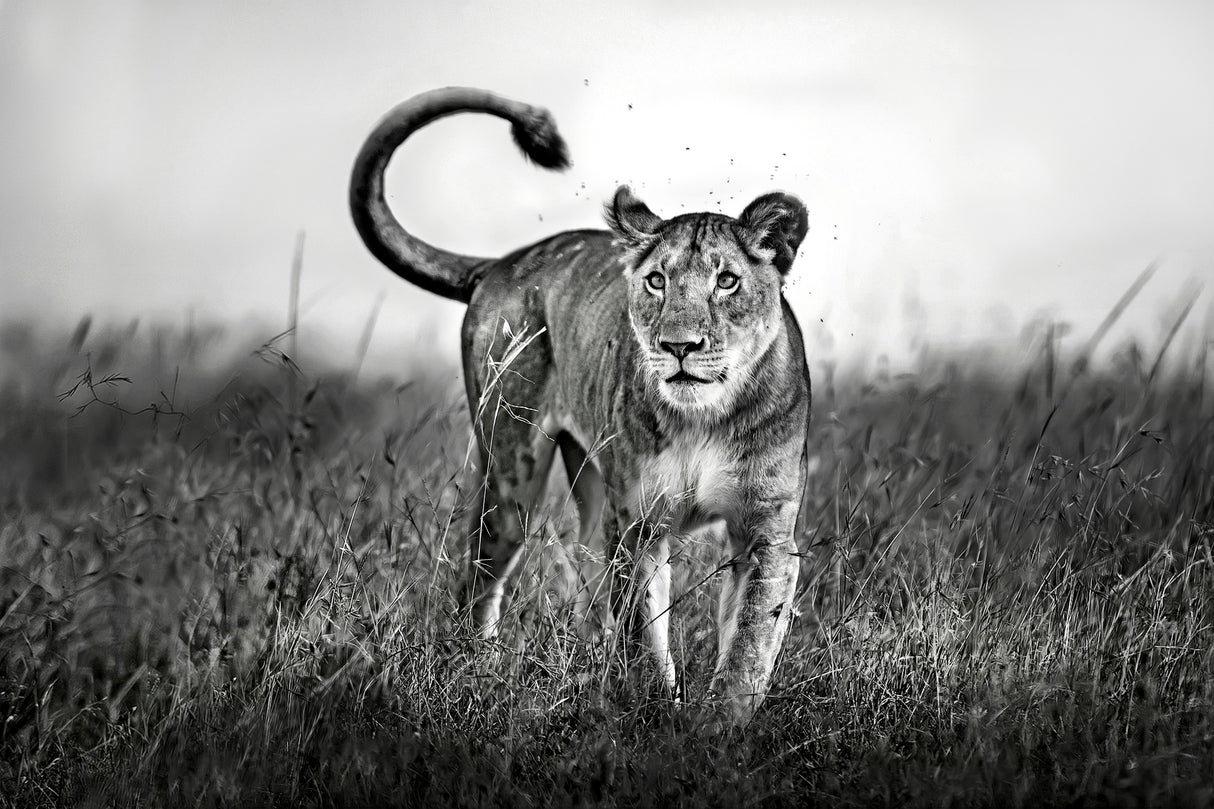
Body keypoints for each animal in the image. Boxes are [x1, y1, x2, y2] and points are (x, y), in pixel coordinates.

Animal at [349, 87, 810, 724]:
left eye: (727, 282)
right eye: (657, 281)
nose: (679, 346)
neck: (704, 416)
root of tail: (501, 263)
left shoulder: (766, 530)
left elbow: (749, 641)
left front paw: (720, 724)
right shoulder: (638, 524)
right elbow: (646, 633)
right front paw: (659, 714)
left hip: (591, 484)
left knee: (585, 572)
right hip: (511, 469)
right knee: (481, 575)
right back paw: (478, 674)